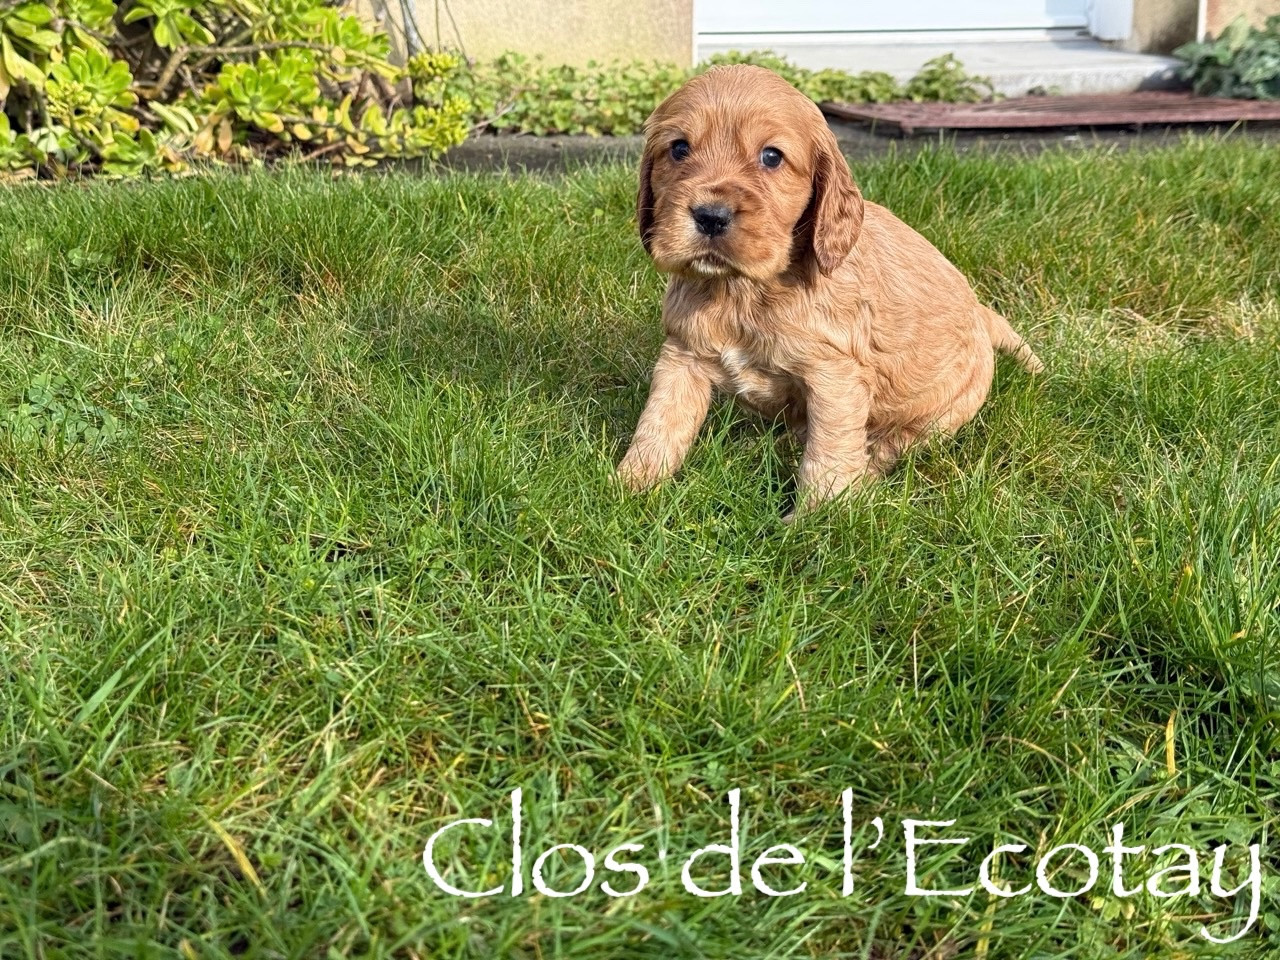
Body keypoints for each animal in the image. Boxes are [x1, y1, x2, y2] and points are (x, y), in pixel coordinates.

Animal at [616, 65, 1042, 513]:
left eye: (771, 156)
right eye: (679, 149)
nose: (710, 216)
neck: (743, 292)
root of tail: (980, 311)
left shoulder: (835, 376)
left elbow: (829, 452)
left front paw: (817, 515)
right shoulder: (683, 354)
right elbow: (660, 422)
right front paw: (630, 488)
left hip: (948, 410)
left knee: (894, 445)